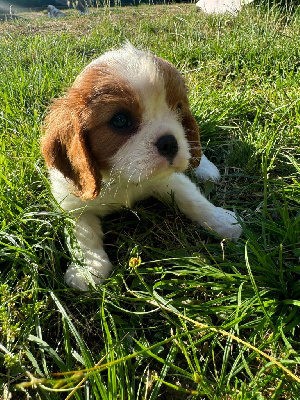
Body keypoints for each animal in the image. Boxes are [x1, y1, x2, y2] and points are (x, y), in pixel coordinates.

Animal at [41, 43, 241, 290]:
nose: (169, 143)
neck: (119, 179)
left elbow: (192, 199)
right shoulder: (72, 203)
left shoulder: (168, 179)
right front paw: (89, 269)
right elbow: (85, 235)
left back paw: (204, 167)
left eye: (177, 109)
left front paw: (221, 220)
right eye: (119, 120)